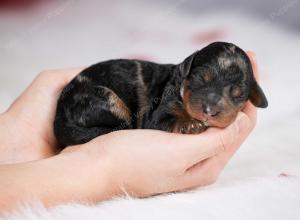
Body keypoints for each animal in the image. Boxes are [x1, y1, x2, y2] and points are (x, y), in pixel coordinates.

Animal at [54, 42, 268, 147]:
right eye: (200, 78)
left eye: (238, 94)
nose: (209, 111)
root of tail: (58, 115)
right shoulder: (156, 115)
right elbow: (168, 119)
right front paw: (189, 125)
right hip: (107, 99)